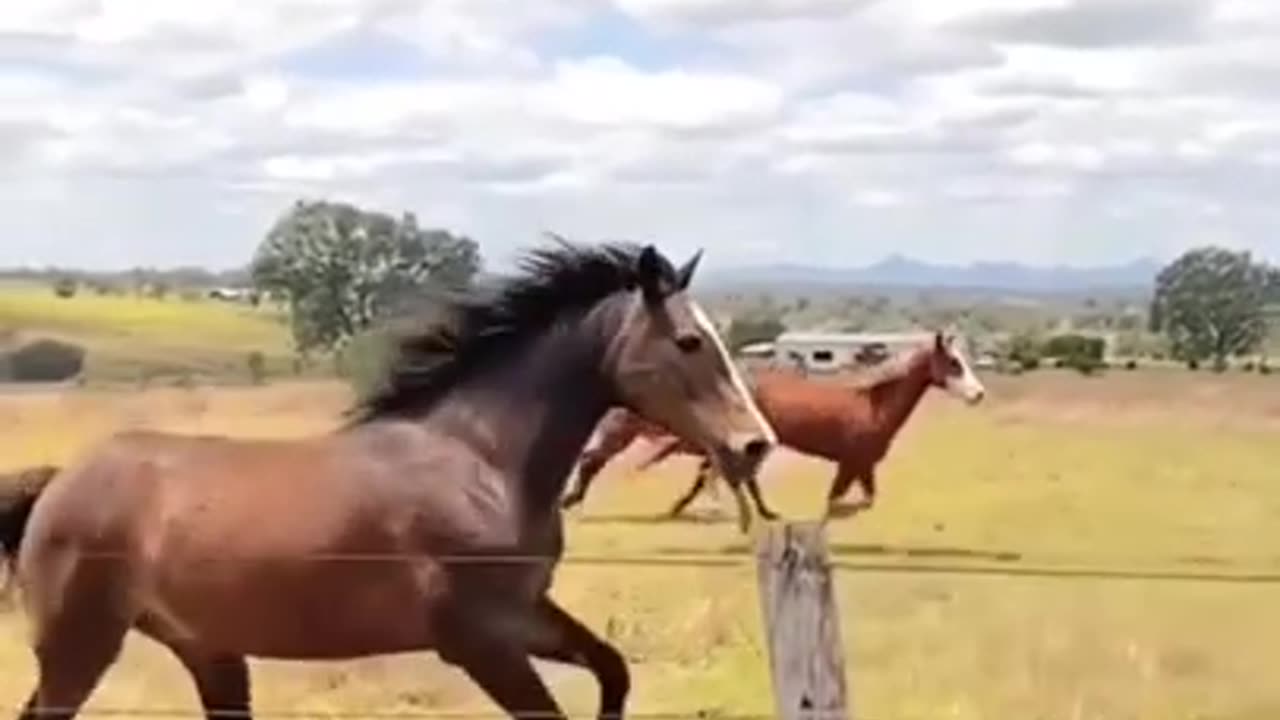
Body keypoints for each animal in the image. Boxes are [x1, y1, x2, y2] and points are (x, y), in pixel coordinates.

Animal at [0, 239, 773, 717]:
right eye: (690, 341)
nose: (755, 444)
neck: (481, 461)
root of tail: (59, 484)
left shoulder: (527, 616)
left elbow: (615, 670)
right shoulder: (480, 643)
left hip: (210, 653)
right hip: (79, 645)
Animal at [555, 330, 983, 520]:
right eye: (953, 363)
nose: (978, 394)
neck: (873, 406)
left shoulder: (862, 468)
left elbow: (864, 500)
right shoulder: (850, 465)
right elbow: (836, 503)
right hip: (621, 431)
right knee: (592, 460)